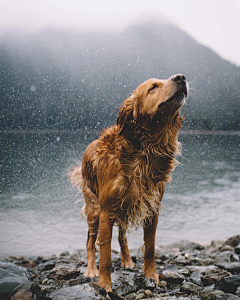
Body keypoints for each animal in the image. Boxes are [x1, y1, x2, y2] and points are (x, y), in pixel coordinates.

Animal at [69, 74, 188, 292]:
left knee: (121, 235)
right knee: (90, 242)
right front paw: (104, 285)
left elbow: (150, 248)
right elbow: (105, 255)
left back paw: (126, 259)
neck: (142, 152)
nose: (181, 77)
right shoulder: (106, 210)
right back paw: (91, 269)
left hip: (123, 207)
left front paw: (151, 275)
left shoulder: (152, 208)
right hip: (94, 210)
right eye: (153, 87)